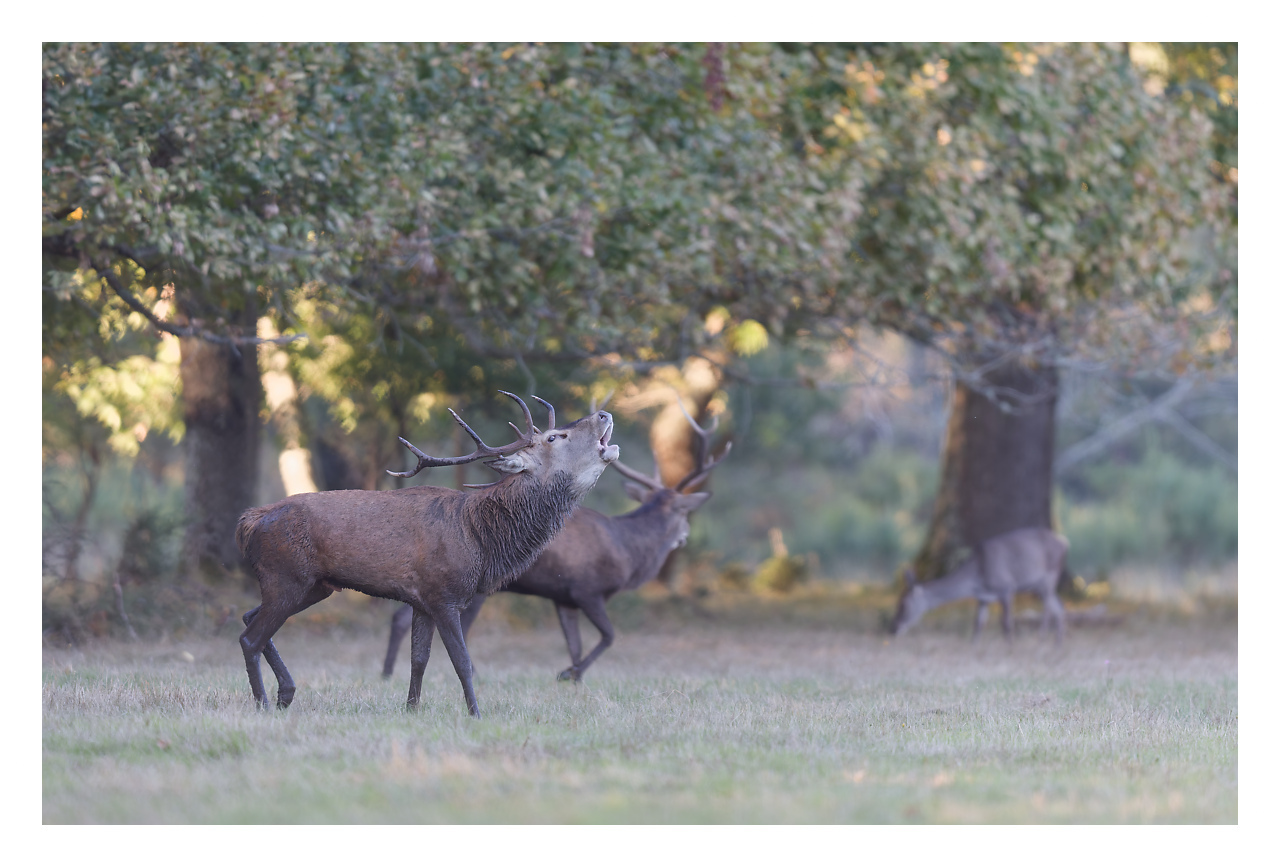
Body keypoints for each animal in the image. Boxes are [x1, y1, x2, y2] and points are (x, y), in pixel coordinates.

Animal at [234, 392, 619, 717]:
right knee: (250, 637)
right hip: (286, 576)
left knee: (249, 617)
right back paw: (264, 703)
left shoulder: (421, 601)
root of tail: (249, 521)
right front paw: (476, 714)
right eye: (555, 437)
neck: (482, 540)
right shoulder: (444, 596)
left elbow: (419, 660)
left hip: (315, 585)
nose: (603, 414)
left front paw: (411, 709)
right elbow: (461, 661)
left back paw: (286, 693)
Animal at [382, 401, 730, 683]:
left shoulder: (563, 598)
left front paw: (575, 677)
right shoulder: (587, 588)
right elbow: (609, 636)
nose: (684, 537)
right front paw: (569, 673)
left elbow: (575, 644)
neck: (626, 551)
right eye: (684, 514)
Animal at [890, 527, 1070, 643]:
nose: (894, 628)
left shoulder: (1006, 587)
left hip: (1049, 576)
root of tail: (1064, 542)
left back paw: (1042, 637)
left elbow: (1006, 622)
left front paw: (1010, 646)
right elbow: (978, 623)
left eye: (903, 604)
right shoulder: (984, 598)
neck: (978, 580)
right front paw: (973, 646)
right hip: (1040, 584)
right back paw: (1057, 643)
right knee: (1059, 607)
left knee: (1049, 607)